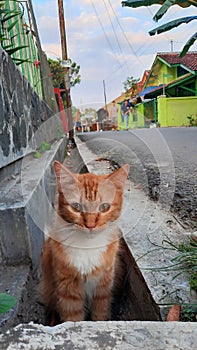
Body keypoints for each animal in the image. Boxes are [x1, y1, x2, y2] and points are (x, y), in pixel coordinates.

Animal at [40, 160, 129, 324]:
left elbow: (100, 315)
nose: (90, 225)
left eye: (104, 207)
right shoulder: (68, 290)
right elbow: (73, 318)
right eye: (76, 206)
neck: (87, 246)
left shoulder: (103, 286)